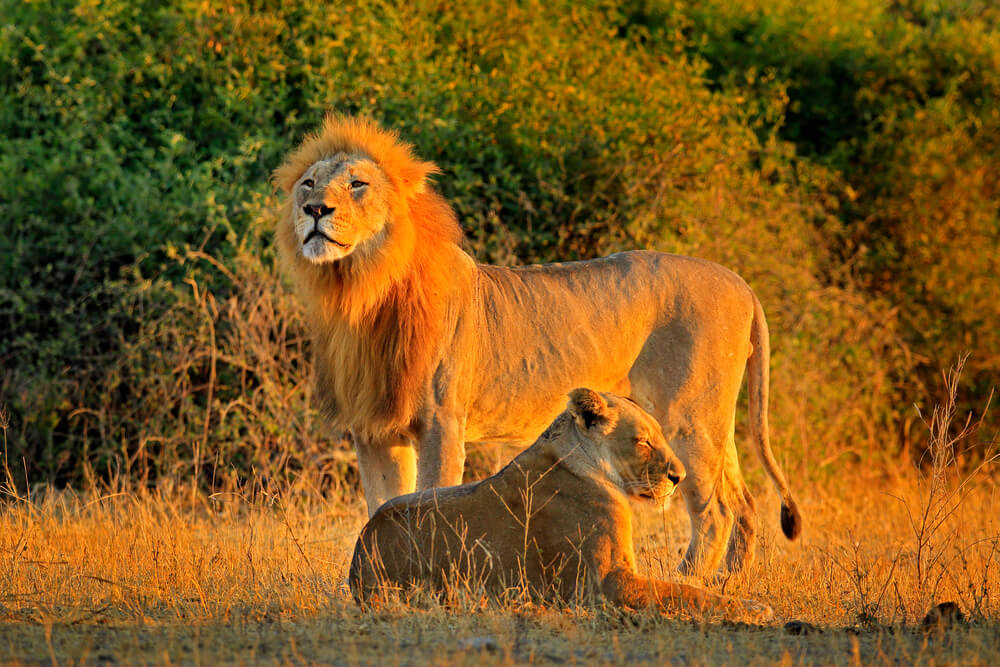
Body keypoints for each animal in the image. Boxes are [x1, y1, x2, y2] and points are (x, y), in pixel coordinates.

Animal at [274, 115, 802, 576]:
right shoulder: (374, 430)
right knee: (743, 503)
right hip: (714, 420)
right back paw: (730, 582)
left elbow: (431, 496)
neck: (361, 289)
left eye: (357, 184)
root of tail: (741, 283)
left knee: (714, 510)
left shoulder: (442, 423)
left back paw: (691, 582)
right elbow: (385, 504)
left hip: (689, 415)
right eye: (308, 183)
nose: (314, 210)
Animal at [349, 389, 774, 622]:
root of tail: (359, 561)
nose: (679, 477)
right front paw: (754, 609)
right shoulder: (607, 581)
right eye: (643, 440)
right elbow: (685, 592)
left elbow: (685, 589)